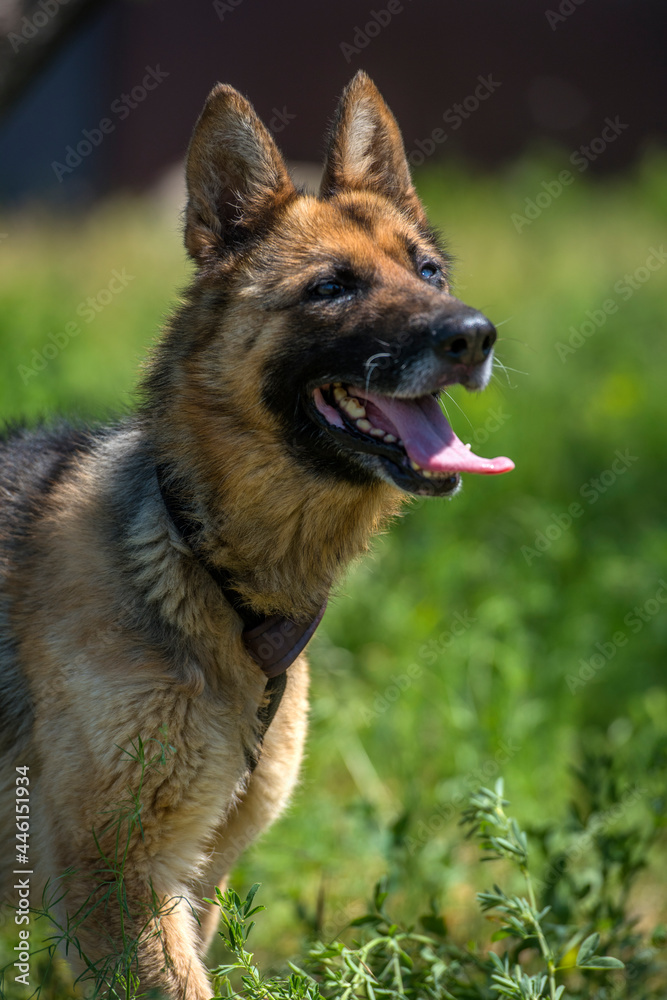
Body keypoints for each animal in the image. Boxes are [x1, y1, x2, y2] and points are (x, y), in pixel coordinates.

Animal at [0, 74, 516, 996]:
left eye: (427, 271)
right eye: (330, 288)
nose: (473, 336)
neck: (198, 558)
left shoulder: (193, 876)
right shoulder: (117, 883)